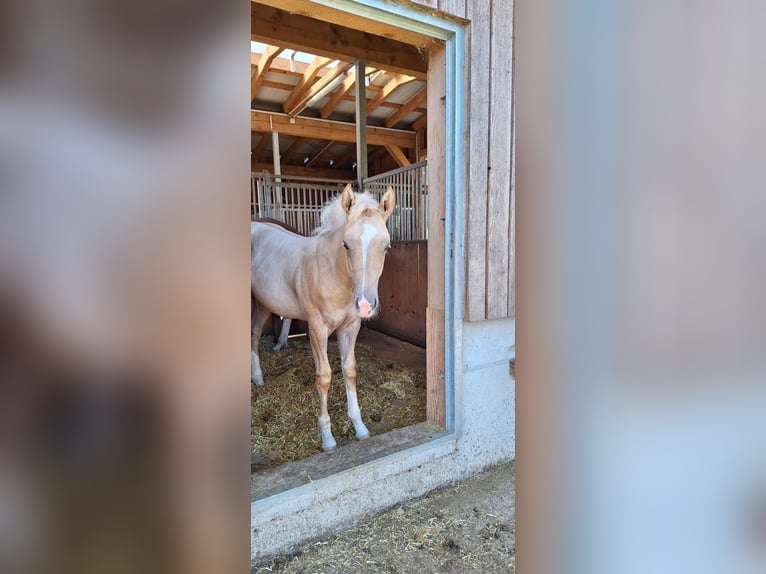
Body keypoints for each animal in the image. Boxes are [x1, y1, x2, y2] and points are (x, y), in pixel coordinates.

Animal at [251, 184, 395, 451]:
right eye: (346, 245)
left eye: (387, 246)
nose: (365, 305)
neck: (332, 274)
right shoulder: (317, 329)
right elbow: (324, 376)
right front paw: (327, 438)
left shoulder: (350, 327)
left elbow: (349, 370)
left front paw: (360, 427)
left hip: (265, 304)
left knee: (254, 335)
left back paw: (258, 378)